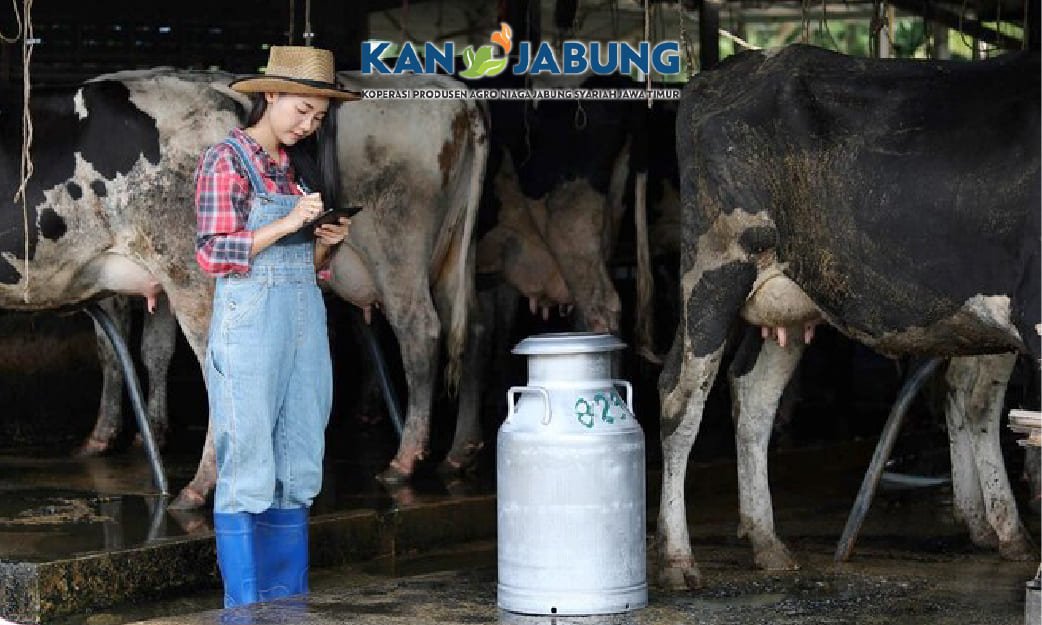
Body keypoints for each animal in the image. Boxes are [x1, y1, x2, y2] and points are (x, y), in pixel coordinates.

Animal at [654, 46, 1037, 587]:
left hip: (788, 300)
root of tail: (727, 70)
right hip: (713, 272)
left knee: (754, 394)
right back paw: (678, 559)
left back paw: (767, 542)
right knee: (679, 399)